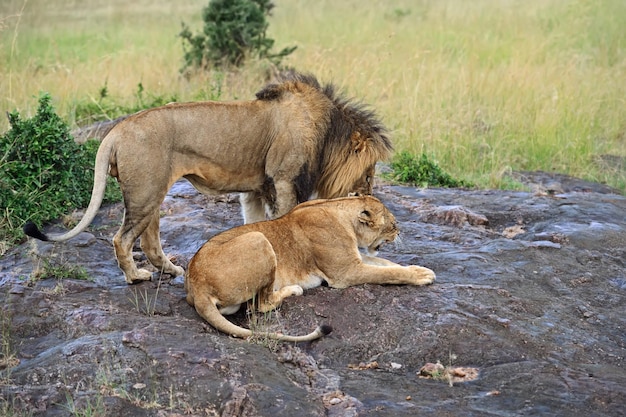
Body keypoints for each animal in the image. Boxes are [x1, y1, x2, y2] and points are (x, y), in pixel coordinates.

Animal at [24, 73, 390, 284]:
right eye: (369, 173)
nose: (369, 197)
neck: (327, 135)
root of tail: (116, 131)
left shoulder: (256, 189)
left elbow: (255, 222)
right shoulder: (284, 180)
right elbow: (287, 221)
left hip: (152, 194)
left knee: (149, 242)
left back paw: (171, 271)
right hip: (145, 193)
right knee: (122, 239)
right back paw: (136, 276)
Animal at [185, 195, 434, 342]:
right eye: (393, 224)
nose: (400, 232)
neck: (338, 208)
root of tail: (197, 284)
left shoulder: (354, 259)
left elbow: (386, 264)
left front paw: (418, 267)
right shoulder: (345, 273)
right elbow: (387, 272)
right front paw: (421, 275)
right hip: (259, 239)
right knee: (261, 304)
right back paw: (293, 290)